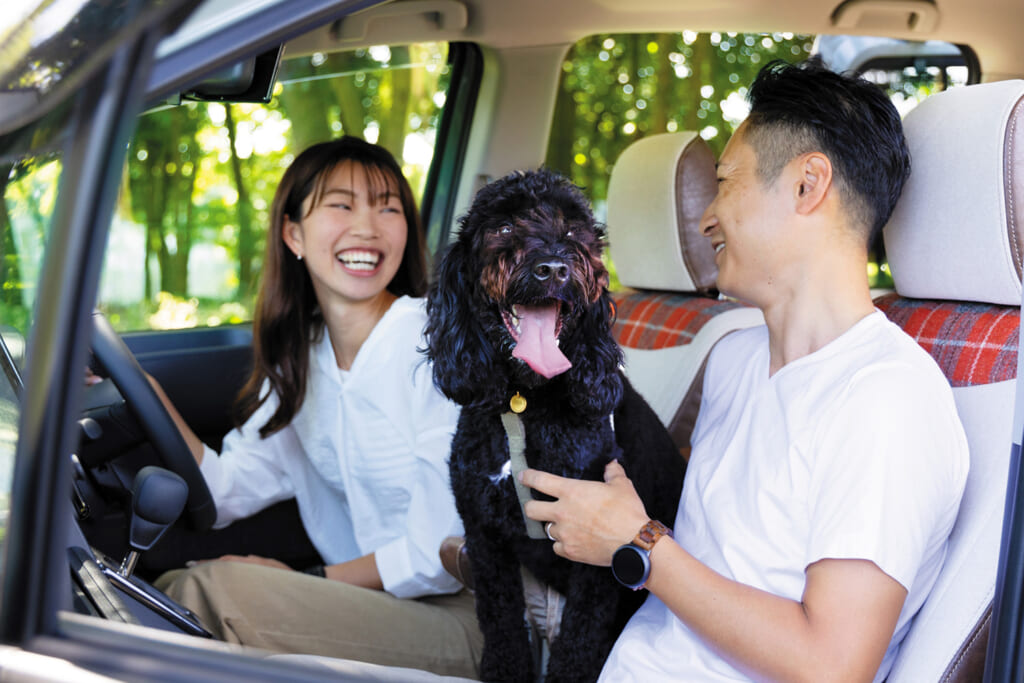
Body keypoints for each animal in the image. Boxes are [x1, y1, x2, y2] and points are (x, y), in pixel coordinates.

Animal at [425, 167, 688, 679]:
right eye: (504, 227)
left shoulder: (596, 562)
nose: (552, 268)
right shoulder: (485, 538)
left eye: (573, 231)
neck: (526, 403)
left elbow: (579, 646)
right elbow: (502, 625)